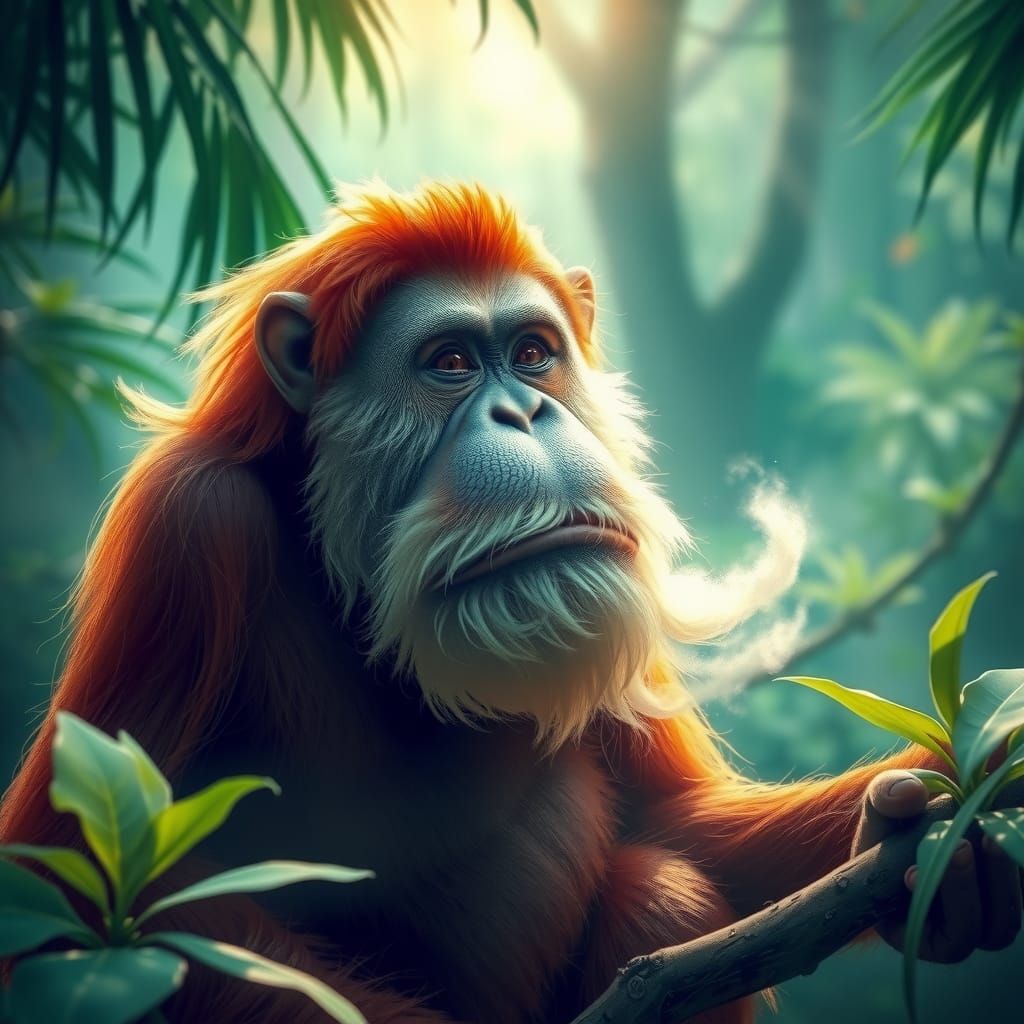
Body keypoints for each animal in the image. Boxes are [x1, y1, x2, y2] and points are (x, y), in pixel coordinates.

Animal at [2, 181, 1019, 1024]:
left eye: (533, 355)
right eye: (450, 362)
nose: (526, 413)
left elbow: (678, 825)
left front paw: (926, 827)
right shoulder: (185, 525)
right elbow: (80, 891)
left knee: (663, 888)